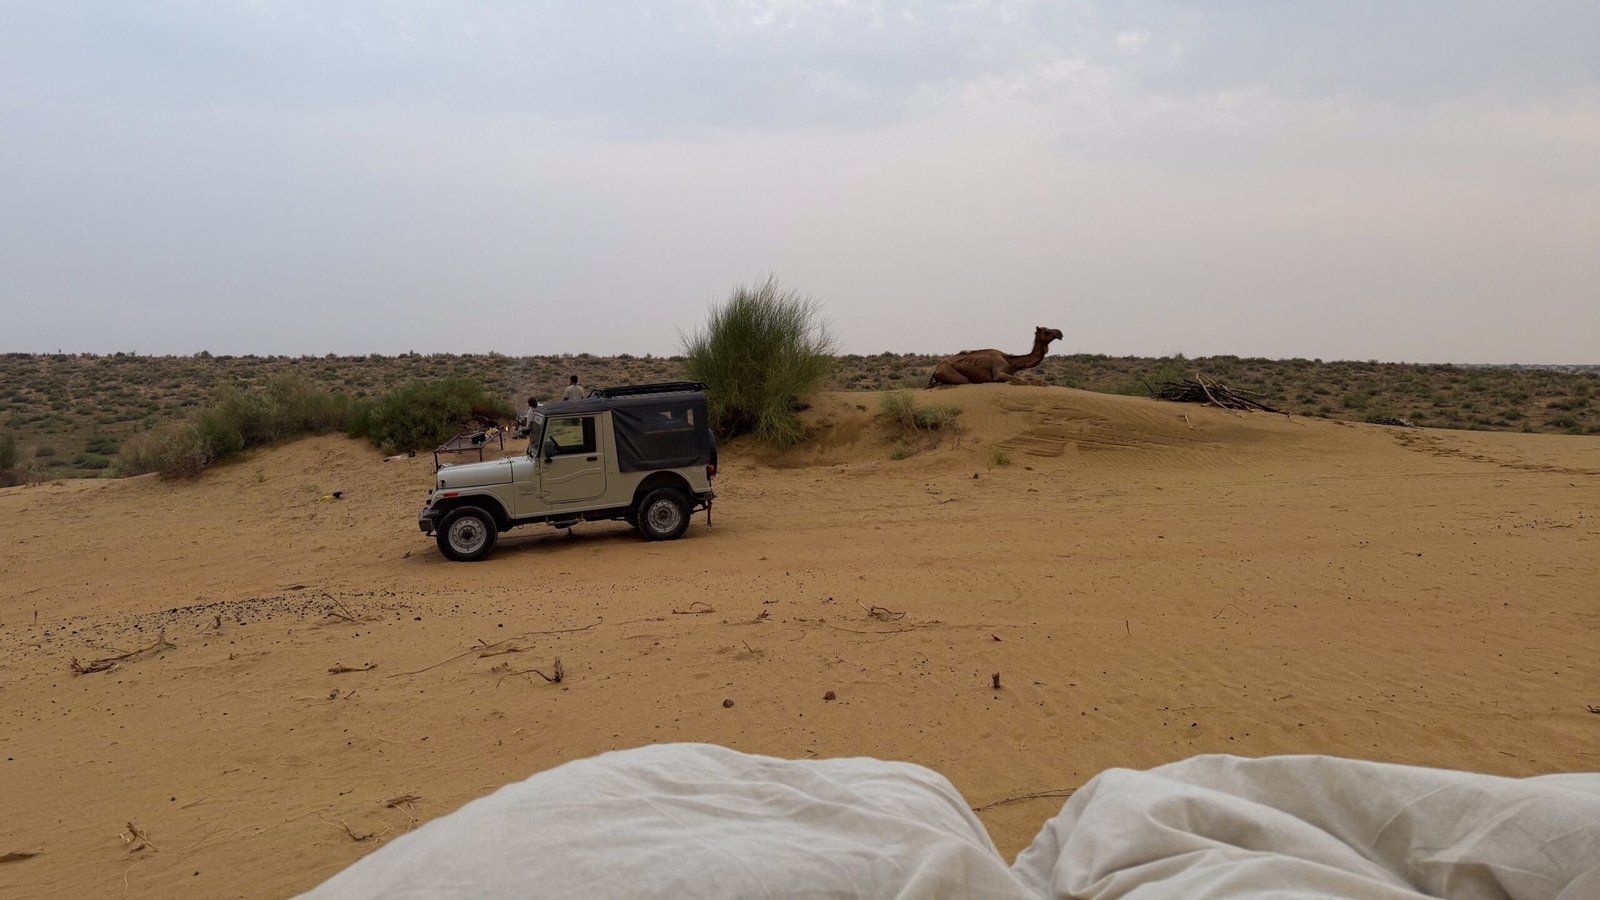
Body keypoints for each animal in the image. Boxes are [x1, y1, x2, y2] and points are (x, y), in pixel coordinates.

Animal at [927, 326, 1063, 387]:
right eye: (1046, 331)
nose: (1060, 333)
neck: (1011, 363)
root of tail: (936, 369)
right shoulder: (999, 372)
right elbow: (1020, 379)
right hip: (951, 373)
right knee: (964, 381)